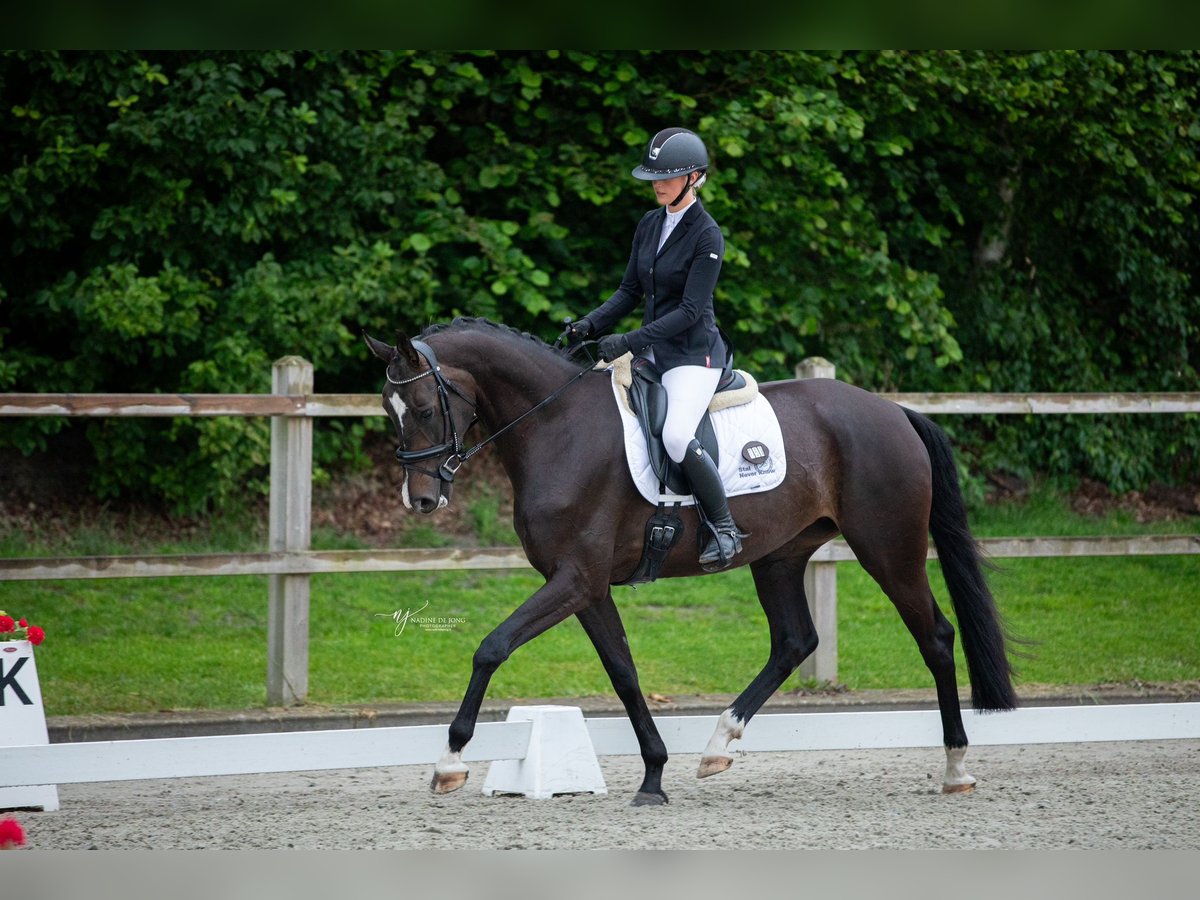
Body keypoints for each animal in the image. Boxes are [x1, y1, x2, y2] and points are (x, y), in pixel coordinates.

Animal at [362, 321, 1012, 806]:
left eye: (423, 407)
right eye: (391, 411)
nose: (421, 500)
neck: (556, 427)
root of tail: (894, 411)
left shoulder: (575, 579)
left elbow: (491, 647)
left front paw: (449, 761)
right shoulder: (585, 585)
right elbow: (623, 672)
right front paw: (654, 776)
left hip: (888, 548)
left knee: (935, 636)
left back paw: (956, 768)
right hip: (779, 555)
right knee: (794, 641)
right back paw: (719, 745)